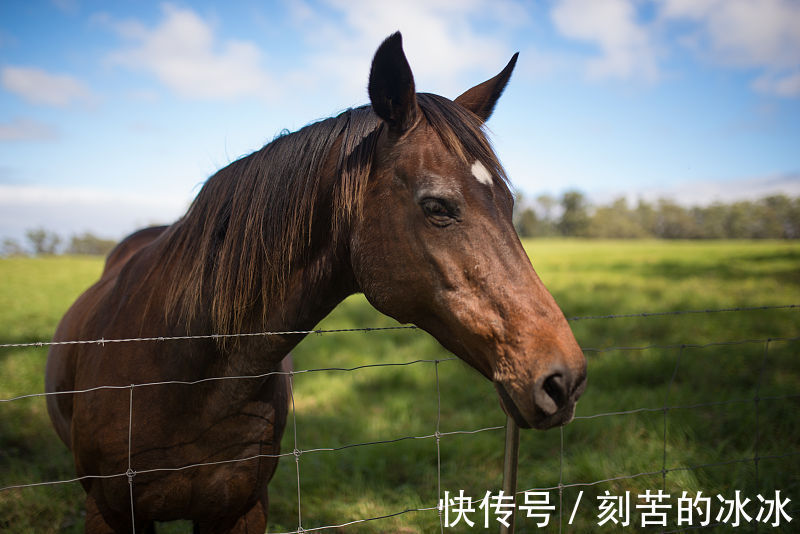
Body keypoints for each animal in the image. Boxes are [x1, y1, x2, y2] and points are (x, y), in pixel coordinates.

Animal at [47, 33, 588, 534]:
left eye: (510, 205)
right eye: (437, 206)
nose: (564, 379)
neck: (184, 370)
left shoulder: (241, 510)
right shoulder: (110, 513)